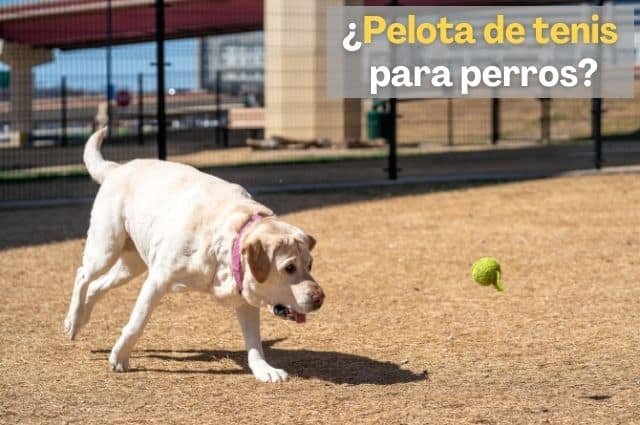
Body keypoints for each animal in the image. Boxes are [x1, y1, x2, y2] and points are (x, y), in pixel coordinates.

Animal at [65, 127, 322, 382]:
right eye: (289, 267)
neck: (227, 237)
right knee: (82, 275)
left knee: (96, 286)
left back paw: (81, 320)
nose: (320, 298)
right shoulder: (157, 280)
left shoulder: (244, 298)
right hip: (105, 248)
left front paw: (264, 370)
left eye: (309, 265)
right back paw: (73, 320)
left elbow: (254, 343)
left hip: (130, 266)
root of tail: (117, 168)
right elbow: (137, 323)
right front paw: (119, 357)